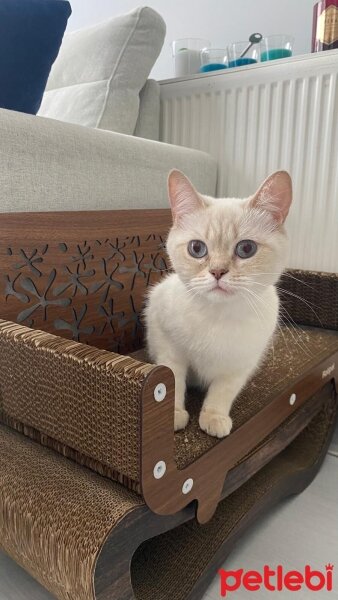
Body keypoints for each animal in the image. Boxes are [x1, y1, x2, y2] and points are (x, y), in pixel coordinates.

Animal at [144, 171, 292, 438]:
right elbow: (173, 381)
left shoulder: (239, 365)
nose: (218, 272)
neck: (218, 315)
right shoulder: (170, 349)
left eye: (246, 248)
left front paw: (214, 418)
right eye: (197, 248)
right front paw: (173, 415)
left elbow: (222, 392)